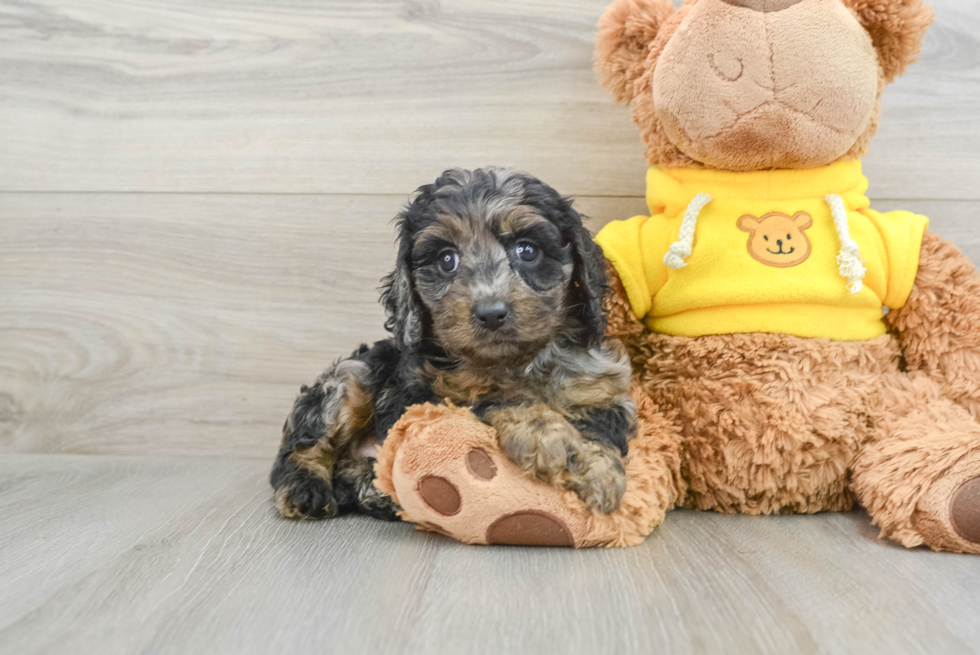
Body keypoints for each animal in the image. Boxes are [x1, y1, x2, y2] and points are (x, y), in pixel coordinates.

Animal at [270, 168, 636, 524]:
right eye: (447, 259)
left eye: (527, 250)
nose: (491, 313)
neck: (517, 361)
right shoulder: (421, 398)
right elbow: (502, 400)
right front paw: (556, 443)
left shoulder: (602, 390)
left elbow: (601, 427)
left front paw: (593, 467)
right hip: (350, 377)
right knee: (300, 446)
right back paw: (305, 487)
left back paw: (375, 493)